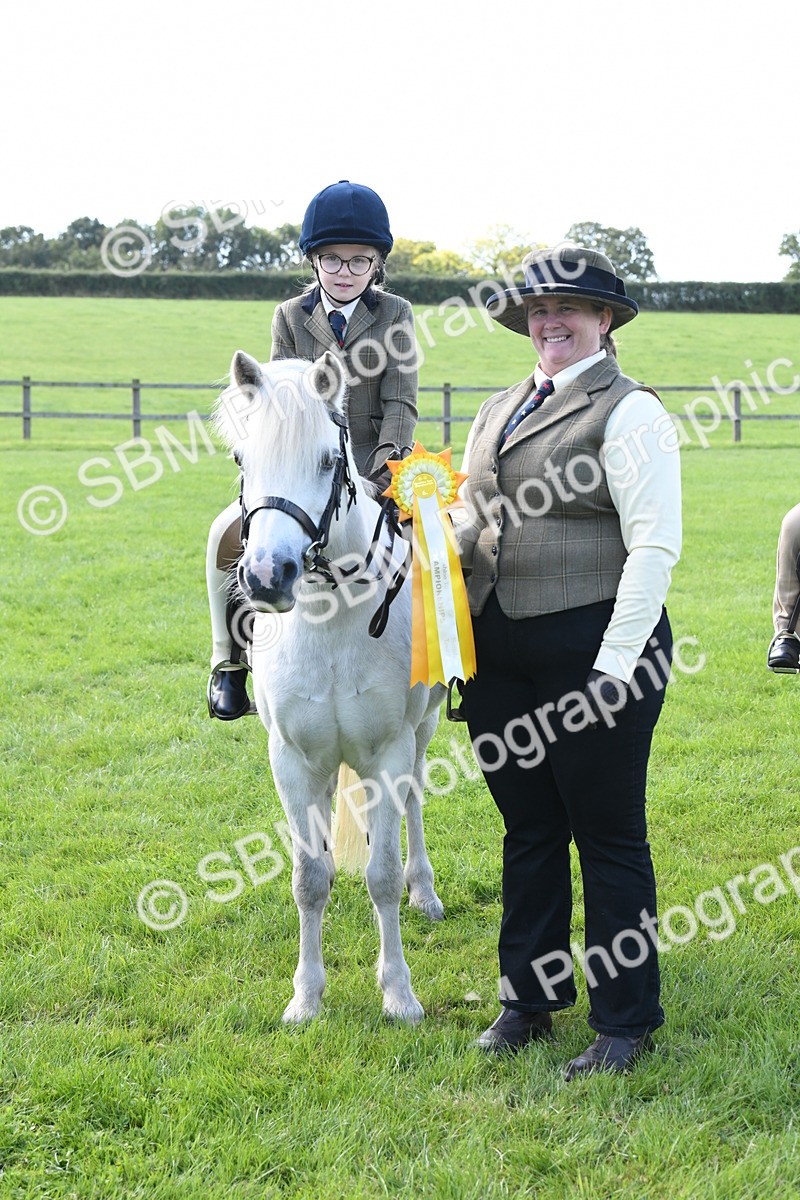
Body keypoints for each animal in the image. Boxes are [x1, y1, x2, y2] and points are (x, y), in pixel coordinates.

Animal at [213, 349, 445, 1024]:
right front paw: (306, 997)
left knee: (414, 802)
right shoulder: (293, 761)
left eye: (325, 460)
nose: (268, 576)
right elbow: (309, 879)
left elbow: (383, 874)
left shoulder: (388, 751)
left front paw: (399, 993)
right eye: (242, 458)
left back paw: (426, 892)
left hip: (423, 729)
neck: (331, 611)